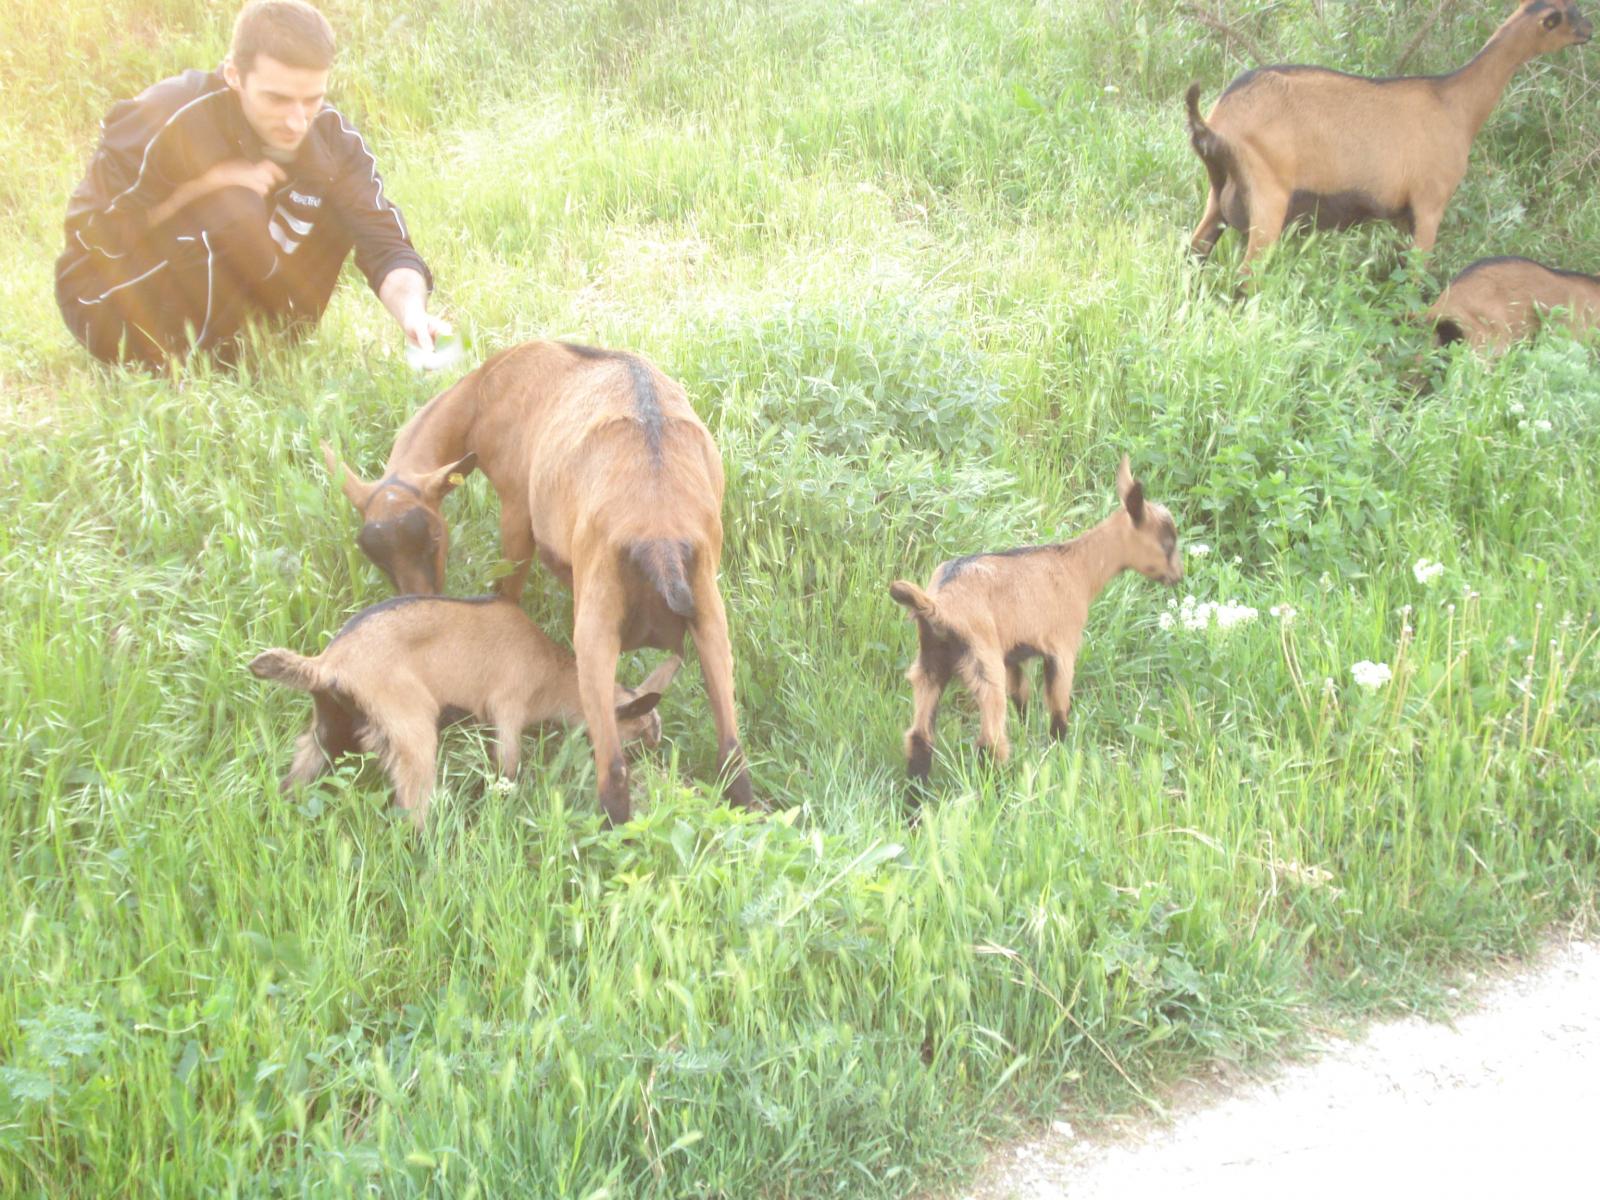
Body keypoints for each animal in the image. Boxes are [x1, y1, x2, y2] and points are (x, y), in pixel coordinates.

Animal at [249, 594, 682, 829]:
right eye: (639, 740)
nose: (654, 772)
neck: (550, 672)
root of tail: (326, 664)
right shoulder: (507, 709)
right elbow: (508, 769)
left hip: (330, 725)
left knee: (299, 773)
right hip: (409, 727)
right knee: (412, 804)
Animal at [325, 340, 753, 825]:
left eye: (433, 535)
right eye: (372, 552)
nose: (419, 598)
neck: (485, 390)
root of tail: (660, 535)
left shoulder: (515, 503)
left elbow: (506, 589)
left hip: (596, 629)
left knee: (613, 770)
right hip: (709, 613)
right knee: (733, 755)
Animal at [889, 456, 1182, 789]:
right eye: (1167, 541)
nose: (1177, 576)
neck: (1077, 567)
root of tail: (937, 605)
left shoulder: (1014, 655)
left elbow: (1022, 698)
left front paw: (1029, 736)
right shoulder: (1062, 648)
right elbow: (1058, 711)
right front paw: (1058, 754)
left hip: (930, 665)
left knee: (920, 736)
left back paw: (916, 797)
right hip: (983, 662)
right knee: (990, 741)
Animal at [1186, 0, 1591, 268]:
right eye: (1564, 17)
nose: (1589, 30)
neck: (1453, 102)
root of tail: (1218, 119)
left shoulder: (1399, 214)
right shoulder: (1430, 204)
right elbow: (1416, 278)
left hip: (1218, 196)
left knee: (1193, 254)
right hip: (1268, 200)